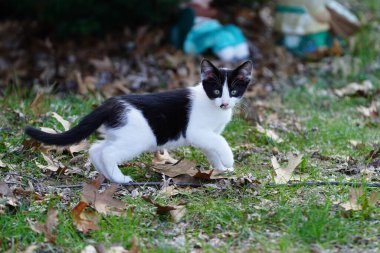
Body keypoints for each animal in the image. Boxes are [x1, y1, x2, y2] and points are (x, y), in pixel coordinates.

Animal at [26, 58, 252, 183]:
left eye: (233, 92)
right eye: (216, 91)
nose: (224, 103)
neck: (212, 105)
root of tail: (111, 103)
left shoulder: (209, 135)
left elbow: (212, 149)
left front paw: (221, 169)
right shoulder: (197, 132)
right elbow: (220, 142)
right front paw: (229, 160)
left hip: (121, 133)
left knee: (96, 149)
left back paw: (109, 176)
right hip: (137, 139)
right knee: (108, 152)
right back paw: (120, 178)